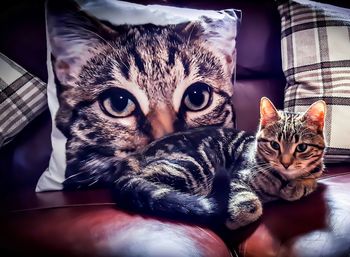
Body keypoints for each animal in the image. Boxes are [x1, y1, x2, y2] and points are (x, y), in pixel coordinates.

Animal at [64, 97, 326, 228]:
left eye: (301, 147)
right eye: (274, 145)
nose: (285, 163)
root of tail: (130, 161)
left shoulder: (313, 174)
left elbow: (312, 181)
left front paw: (297, 187)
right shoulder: (237, 176)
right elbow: (251, 204)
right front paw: (233, 218)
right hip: (195, 165)